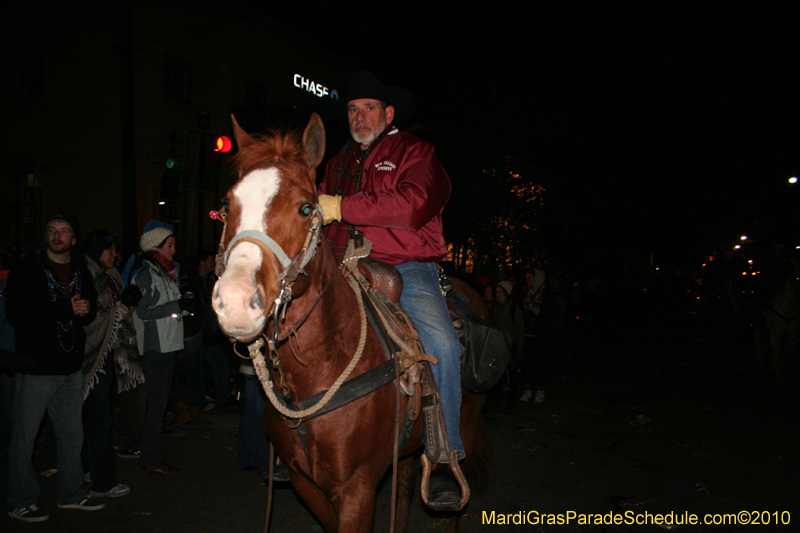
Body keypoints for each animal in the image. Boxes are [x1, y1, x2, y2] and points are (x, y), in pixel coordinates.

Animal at [212, 113, 488, 532]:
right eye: (227, 204)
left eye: (306, 208)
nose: (236, 302)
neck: (320, 364)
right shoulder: (306, 482)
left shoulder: (357, 487)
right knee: (405, 488)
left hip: (467, 432)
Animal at [752, 256, 796, 384]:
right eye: (797, 277)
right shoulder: (774, 336)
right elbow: (777, 358)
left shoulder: (791, 337)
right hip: (758, 332)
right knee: (760, 350)